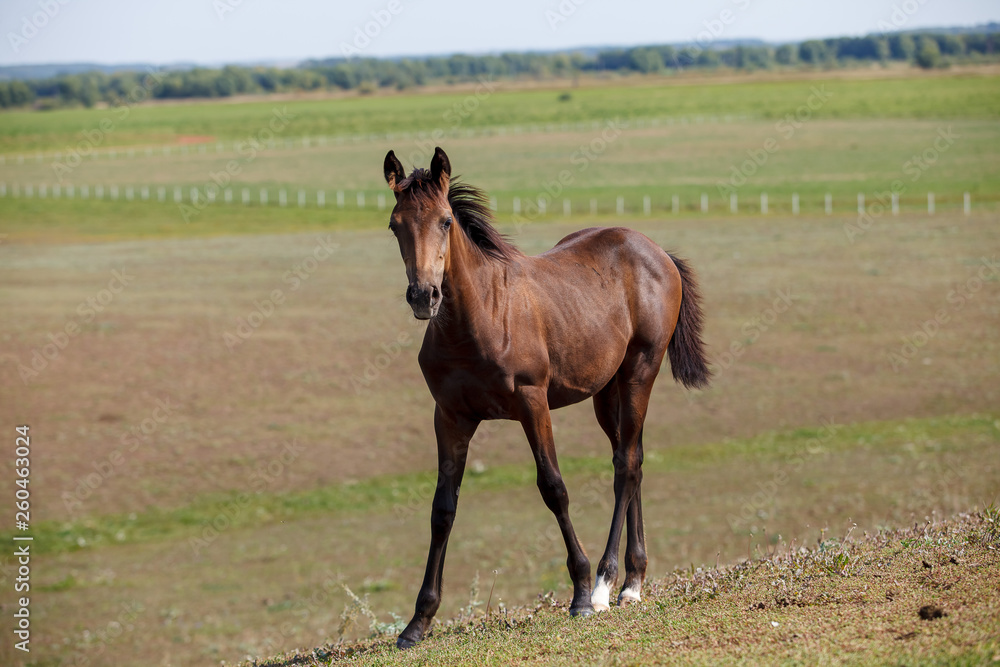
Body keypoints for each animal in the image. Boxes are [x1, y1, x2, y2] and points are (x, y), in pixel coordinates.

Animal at [382, 147, 711, 649]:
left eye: (445, 221)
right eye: (395, 224)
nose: (424, 296)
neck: (478, 317)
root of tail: (656, 251)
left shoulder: (532, 404)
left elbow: (553, 487)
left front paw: (579, 593)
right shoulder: (450, 416)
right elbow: (443, 509)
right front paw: (418, 621)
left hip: (641, 372)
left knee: (625, 465)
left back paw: (606, 585)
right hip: (605, 391)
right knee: (632, 456)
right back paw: (633, 581)